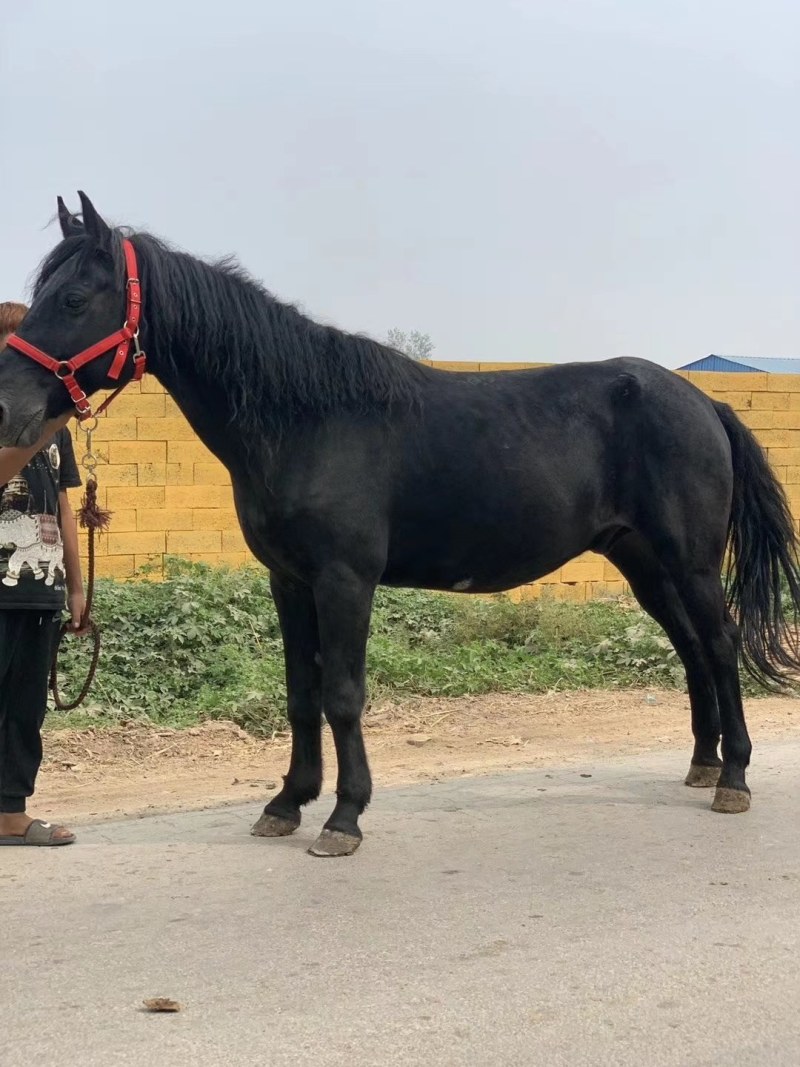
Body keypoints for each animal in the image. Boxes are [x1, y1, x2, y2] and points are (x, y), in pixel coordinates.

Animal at [1, 191, 798, 857]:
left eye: (75, 296)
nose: (9, 406)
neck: (304, 418)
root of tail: (703, 399)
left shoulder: (345, 580)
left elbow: (342, 694)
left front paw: (343, 816)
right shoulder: (289, 581)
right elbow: (300, 693)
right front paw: (287, 803)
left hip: (690, 560)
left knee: (720, 644)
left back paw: (734, 777)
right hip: (644, 563)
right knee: (692, 650)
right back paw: (702, 764)